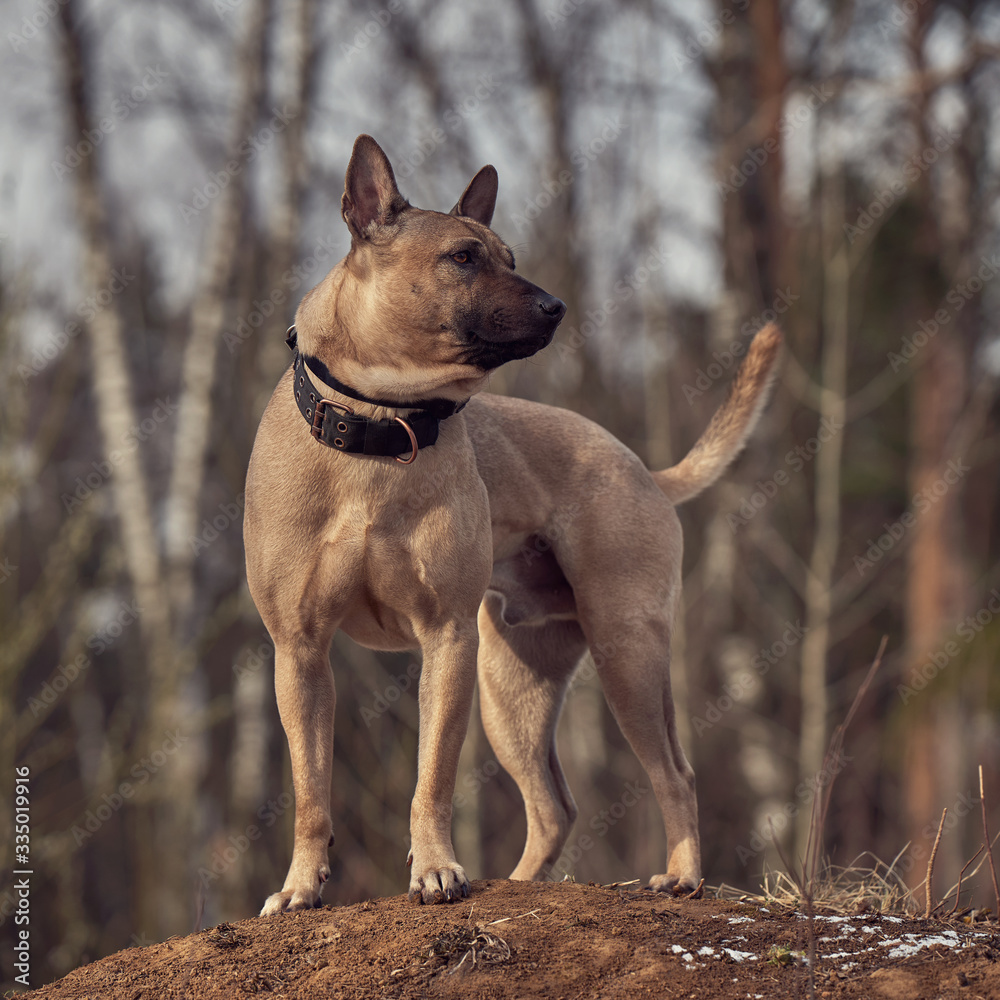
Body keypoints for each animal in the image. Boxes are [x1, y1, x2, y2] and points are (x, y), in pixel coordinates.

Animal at [244, 133, 780, 916]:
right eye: (464, 258)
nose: (555, 306)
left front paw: (435, 870)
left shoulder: (447, 641)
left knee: (672, 774)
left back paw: (680, 876)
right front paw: (299, 888)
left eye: (512, 258)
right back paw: (522, 886)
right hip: (515, 691)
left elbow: (431, 778)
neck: (379, 421)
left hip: (625, 653)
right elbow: (312, 790)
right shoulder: (301, 651)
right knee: (555, 806)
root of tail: (643, 470)